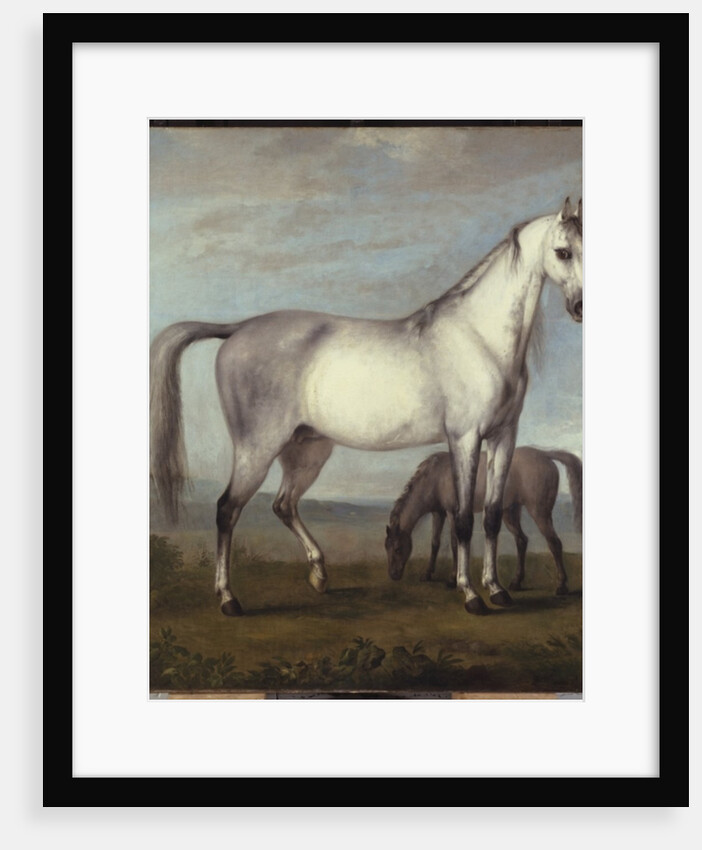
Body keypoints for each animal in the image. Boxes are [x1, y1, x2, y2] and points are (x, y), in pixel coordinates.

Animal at [384, 446, 582, 596]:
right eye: (387, 548)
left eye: (398, 548)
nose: (393, 575)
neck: (435, 476)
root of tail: (544, 454)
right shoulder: (438, 513)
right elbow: (435, 543)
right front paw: (427, 574)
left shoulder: (451, 512)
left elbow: (454, 543)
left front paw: (452, 578)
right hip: (510, 512)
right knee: (522, 540)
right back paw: (516, 582)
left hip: (539, 513)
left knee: (554, 543)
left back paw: (561, 586)